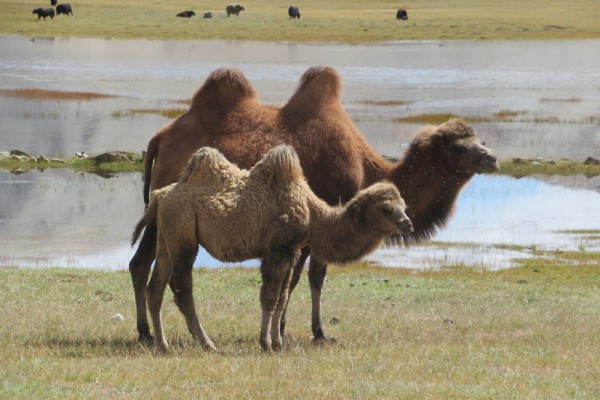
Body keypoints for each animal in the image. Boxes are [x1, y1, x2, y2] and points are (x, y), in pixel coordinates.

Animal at [131, 145, 412, 352]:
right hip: (184, 237)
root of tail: (160, 196)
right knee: (183, 292)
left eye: (404, 205)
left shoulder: (292, 251)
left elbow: (283, 296)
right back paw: (207, 343)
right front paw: (265, 342)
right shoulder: (277, 249)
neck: (313, 215)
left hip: (168, 238)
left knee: (155, 288)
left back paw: (163, 344)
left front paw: (278, 341)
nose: (407, 224)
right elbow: (269, 296)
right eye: (387, 209)